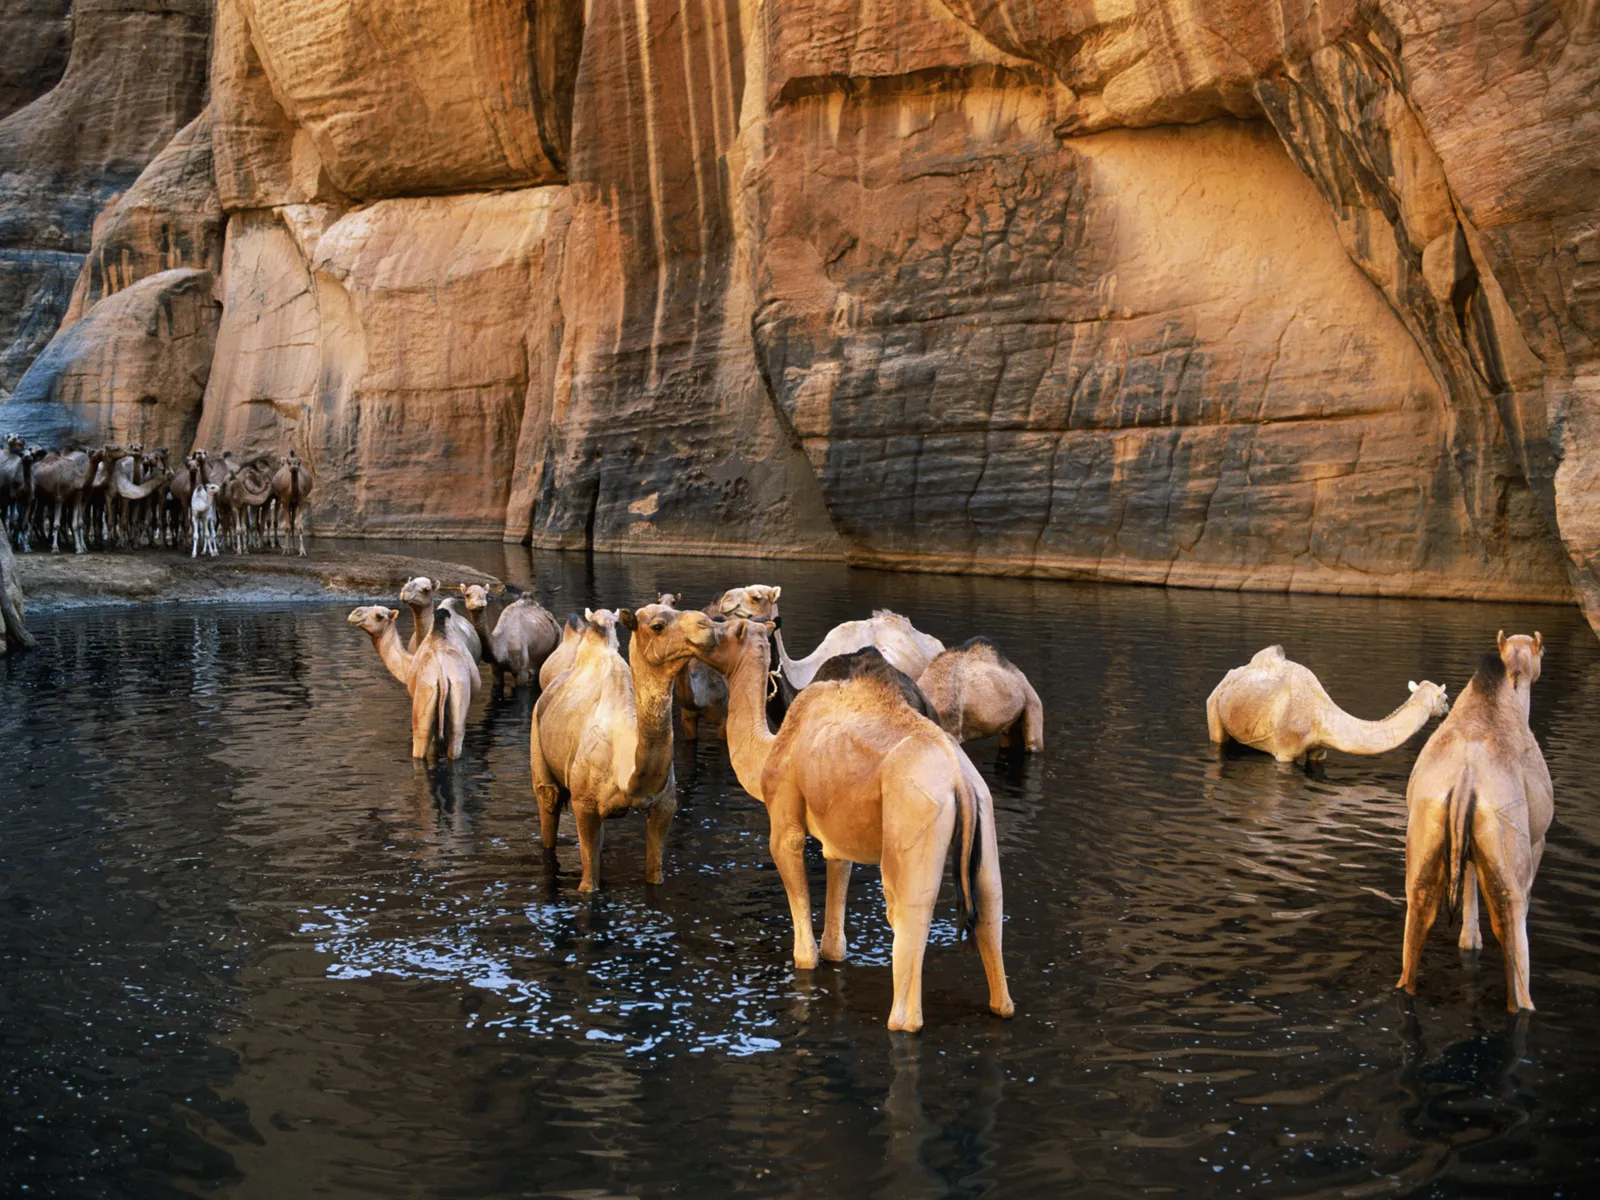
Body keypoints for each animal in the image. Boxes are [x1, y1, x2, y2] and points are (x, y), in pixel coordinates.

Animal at [348, 603, 476, 759]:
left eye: (379, 616)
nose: (355, 613)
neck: (408, 667)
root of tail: (443, 676)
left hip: (423, 704)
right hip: (459, 699)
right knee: (456, 741)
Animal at [528, 600, 720, 893]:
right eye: (657, 626)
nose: (708, 626)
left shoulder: (665, 807)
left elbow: (654, 874)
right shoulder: (583, 804)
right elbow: (589, 886)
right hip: (537, 743)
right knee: (547, 800)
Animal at [702, 616, 1013, 1031]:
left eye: (725, 627)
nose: (701, 630)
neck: (768, 748)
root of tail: (958, 780)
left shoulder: (784, 819)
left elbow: (806, 950)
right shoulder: (837, 833)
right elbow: (835, 933)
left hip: (912, 820)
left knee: (908, 922)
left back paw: (900, 1020)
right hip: (984, 816)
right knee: (991, 912)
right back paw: (1000, 1003)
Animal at [1205, 645, 1449, 764]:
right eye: (1445, 698)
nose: (1447, 709)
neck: (1322, 716)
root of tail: (1230, 675)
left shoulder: (1319, 749)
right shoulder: (1284, 753)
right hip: (1213, 705)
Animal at [1398, 632, 1552, 1012]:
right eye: (1543, 651)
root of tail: (1466, 777)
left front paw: (1470, 941)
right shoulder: (1537, 841)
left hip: (1425, 831)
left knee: (1416, 921)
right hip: (1509, 843)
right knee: (1514, 937)